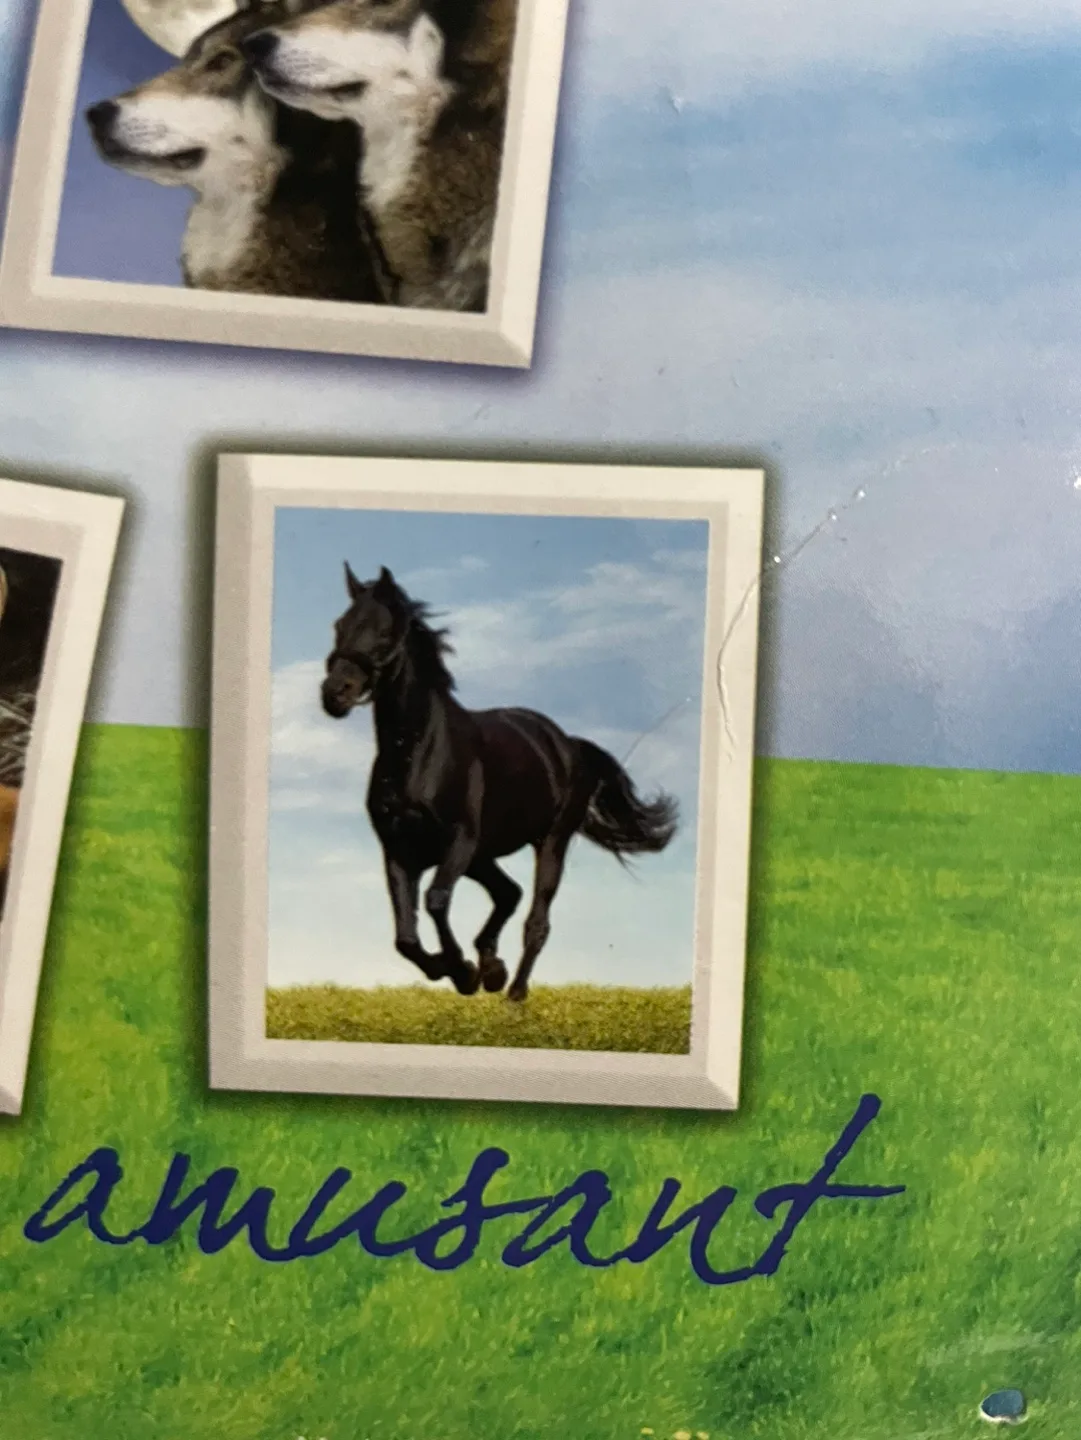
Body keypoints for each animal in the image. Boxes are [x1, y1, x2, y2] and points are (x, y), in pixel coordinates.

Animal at [321, 563, 679, 1001]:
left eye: (384, 632)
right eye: (340, 625)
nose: (334, 693)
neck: (418, 755)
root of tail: (567, 744)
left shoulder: (459, 842)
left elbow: (436, 900)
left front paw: (463, 971)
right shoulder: (399, 850)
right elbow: (405, 937)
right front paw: (462, 969)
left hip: (549, 842)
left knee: (535, 920)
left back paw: (514, 992)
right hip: (483, 856)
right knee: (509, 893)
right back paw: (493, 969)